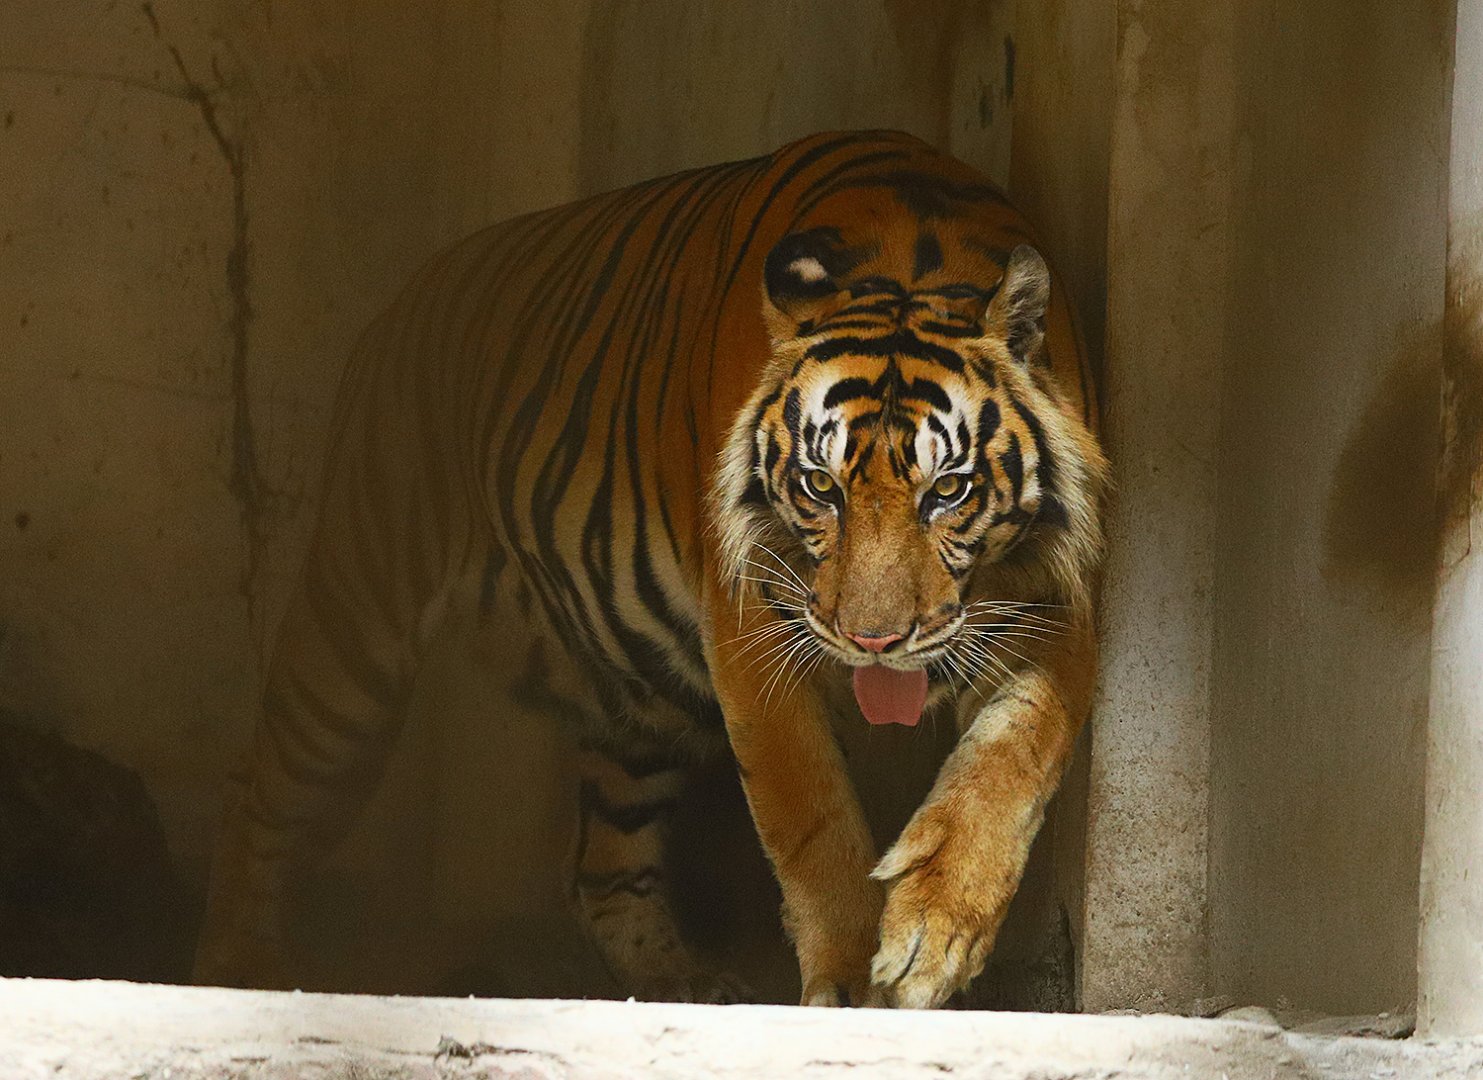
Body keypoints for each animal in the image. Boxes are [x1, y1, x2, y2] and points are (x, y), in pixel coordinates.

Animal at [193, 129, 1108, 1010]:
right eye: (821, 488)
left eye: (946, 491)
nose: (873, 643)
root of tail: (406, 295)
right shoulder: (749, 624)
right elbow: (809, 815)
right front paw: (852, 982)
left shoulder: (1054, 605)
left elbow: (1009, 764)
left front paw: (933, 934)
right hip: (354, 631)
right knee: (258, 797)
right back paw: (241, 970)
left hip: (645, 700)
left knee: (600, 862)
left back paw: (676, 978)